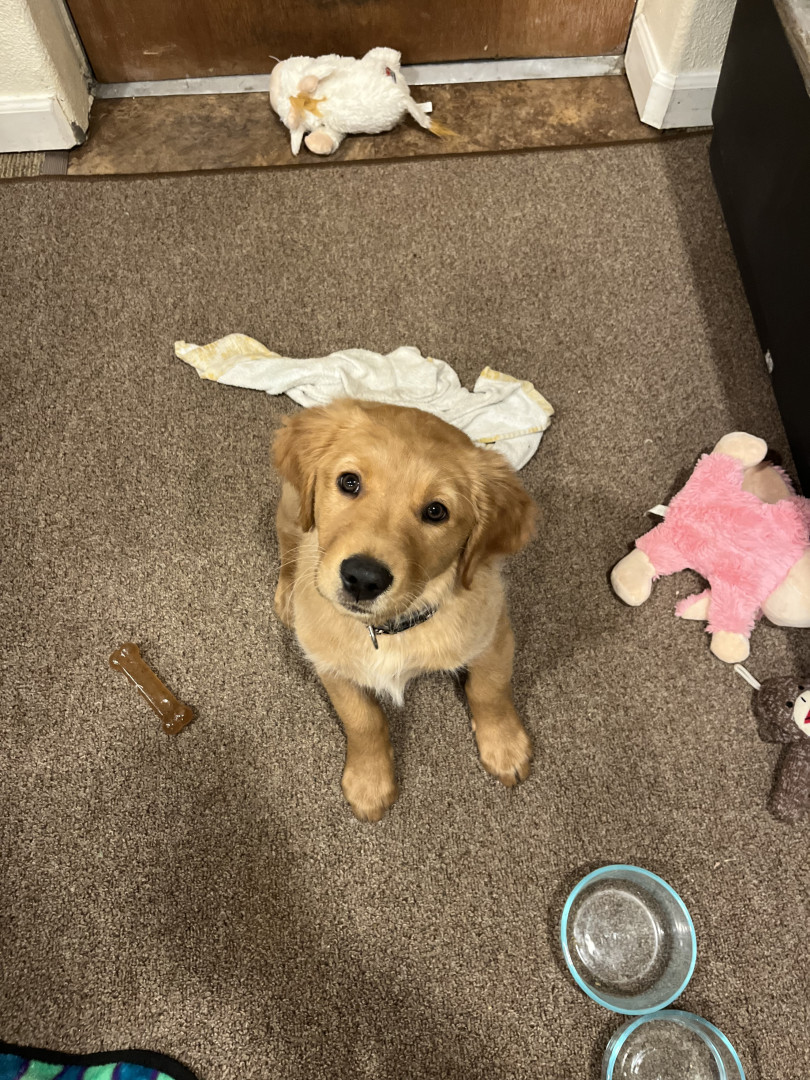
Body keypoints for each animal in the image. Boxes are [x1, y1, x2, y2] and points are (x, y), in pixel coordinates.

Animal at [272, 398, 537, 821]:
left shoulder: (493, 632)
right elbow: (362, 720)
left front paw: (505, 745)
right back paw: (286, 594)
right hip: (291, 506)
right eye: (349, 482)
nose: (363, 578)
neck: (386, 628)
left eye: (436, 511)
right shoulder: (330, 663)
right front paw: (369, 781)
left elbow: (490, 688)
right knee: (288, 545)